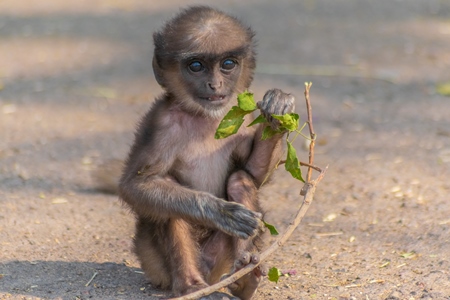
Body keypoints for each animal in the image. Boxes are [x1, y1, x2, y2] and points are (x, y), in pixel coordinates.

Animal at [119, 5, 296, 300]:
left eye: (228, 64)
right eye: (196, 66)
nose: (214, 85)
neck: (204, 118)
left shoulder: (241, 118)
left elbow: (253, 174)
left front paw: (277, 112)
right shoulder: (160, 122)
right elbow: (135, 185)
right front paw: (221, 212)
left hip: (219, 261)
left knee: (239, 180)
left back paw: (245, 278)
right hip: (153, 263)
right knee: (169, 201)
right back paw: (190, 285)